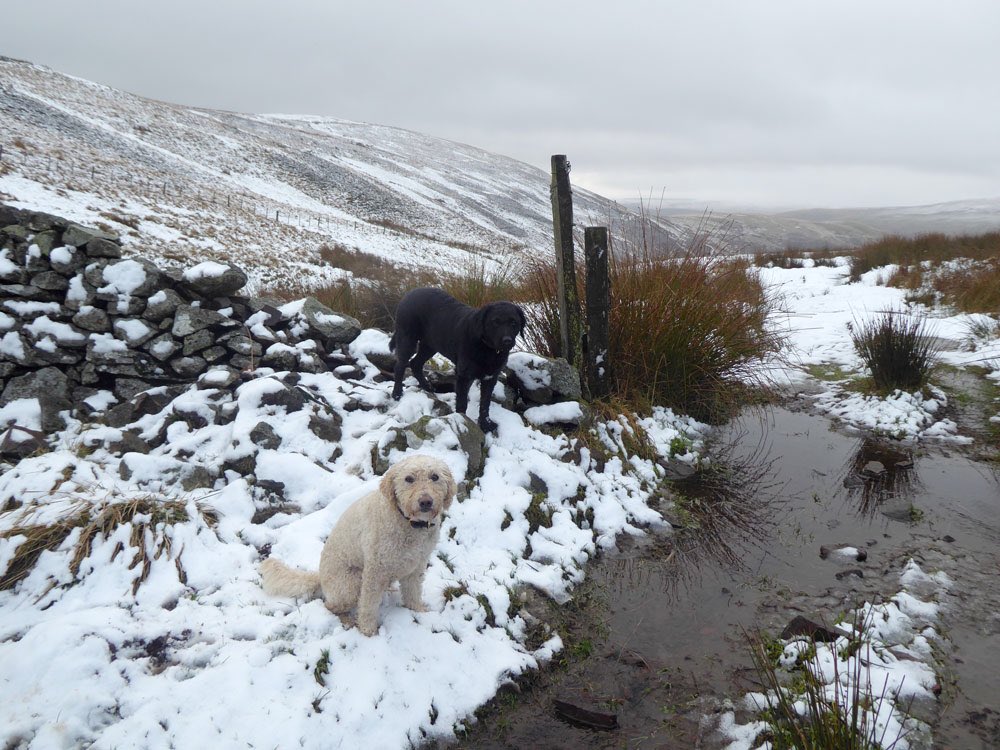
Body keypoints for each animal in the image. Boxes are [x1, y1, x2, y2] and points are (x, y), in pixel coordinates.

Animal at [260, 454, 456, 636]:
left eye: (435, 476)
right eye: (409, 479)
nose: (426, 502)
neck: (408, 522)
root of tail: (320, 577)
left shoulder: (417, 565)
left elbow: (413, 591)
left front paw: (418, 610)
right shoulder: (374, 571)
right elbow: (368, 604)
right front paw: (368, 631)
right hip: (351, 584)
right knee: (330, 606)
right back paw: (347, 620)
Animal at [390, 287, 526, 432]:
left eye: (514, 323)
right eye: (495, 322)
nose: (507, 341)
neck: (488, 349)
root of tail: (409, 293)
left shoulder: (490, 377)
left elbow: (485, 403)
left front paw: (485, 424)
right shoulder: (463, 375)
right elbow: (462, 402)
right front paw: (464, 421)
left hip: (430, 345)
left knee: (415, 363)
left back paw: (427, 387)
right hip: (407, 338)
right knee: (400, 366)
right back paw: (397, 393)